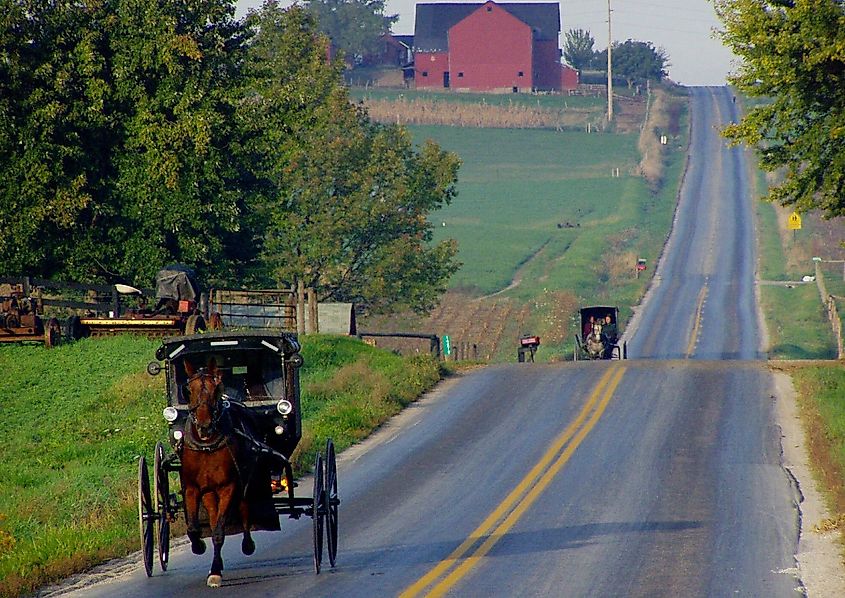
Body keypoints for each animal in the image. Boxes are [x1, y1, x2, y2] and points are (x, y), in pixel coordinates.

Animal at [181, 358, 254, 588]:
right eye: (189, 390)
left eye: (216, 389)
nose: (204, 426)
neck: (206, 445)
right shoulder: (193, 488)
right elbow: (194, 528)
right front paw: (198, 546)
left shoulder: (228, 487)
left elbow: (220, 531)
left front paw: (214, 572)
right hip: (209, 493)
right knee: (213, 520)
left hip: (242, 482)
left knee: (244, 509)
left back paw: (247, 544)